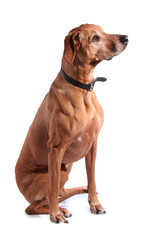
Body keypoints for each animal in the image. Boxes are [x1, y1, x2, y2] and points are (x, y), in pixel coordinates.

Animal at [14, 23, 127, 223]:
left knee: (62, 192)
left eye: (103, 31)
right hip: (60, 172)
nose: (126, 38)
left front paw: (94, 203)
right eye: (95, 38)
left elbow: (92, 177)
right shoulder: (56, 148)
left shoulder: (93, 143)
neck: (83, 89)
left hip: (66, 168)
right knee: (34, 205)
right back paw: (60, 209)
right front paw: (55, 215)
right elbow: (52, 191)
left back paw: (79, 192)